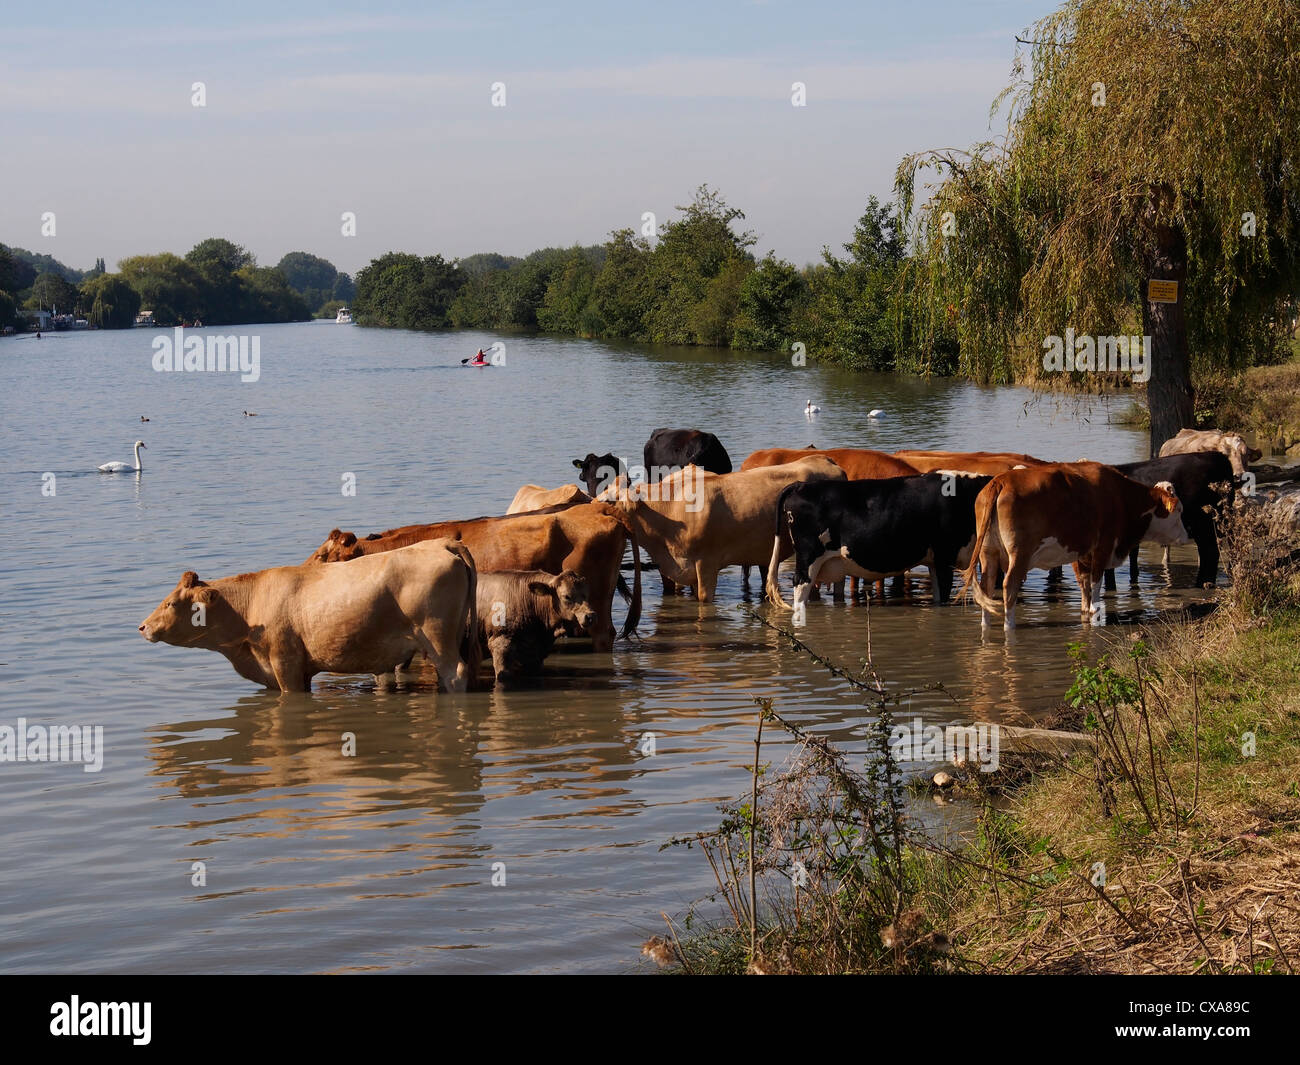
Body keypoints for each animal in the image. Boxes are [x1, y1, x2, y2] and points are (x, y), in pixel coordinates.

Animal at [138, 540, 483, 691]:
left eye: (170, 603)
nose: (142, 626)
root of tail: (442, 543)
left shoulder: (285, 663)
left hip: (437, 636)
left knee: (455, 672)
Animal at [961, 462, 1185, 629]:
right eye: (1179, 510)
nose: (1186, 536)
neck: (1119, 496)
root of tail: (1000, 481)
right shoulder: (1102, 546)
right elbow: (1096, 581)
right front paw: (1095, 609)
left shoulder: (1079, 552)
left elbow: (1084, 583)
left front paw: (1085, 609)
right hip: (1019, 554)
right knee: (1009, 587)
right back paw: (1010, 627)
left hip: (988, 554)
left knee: (986, 588)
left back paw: (986, 624)